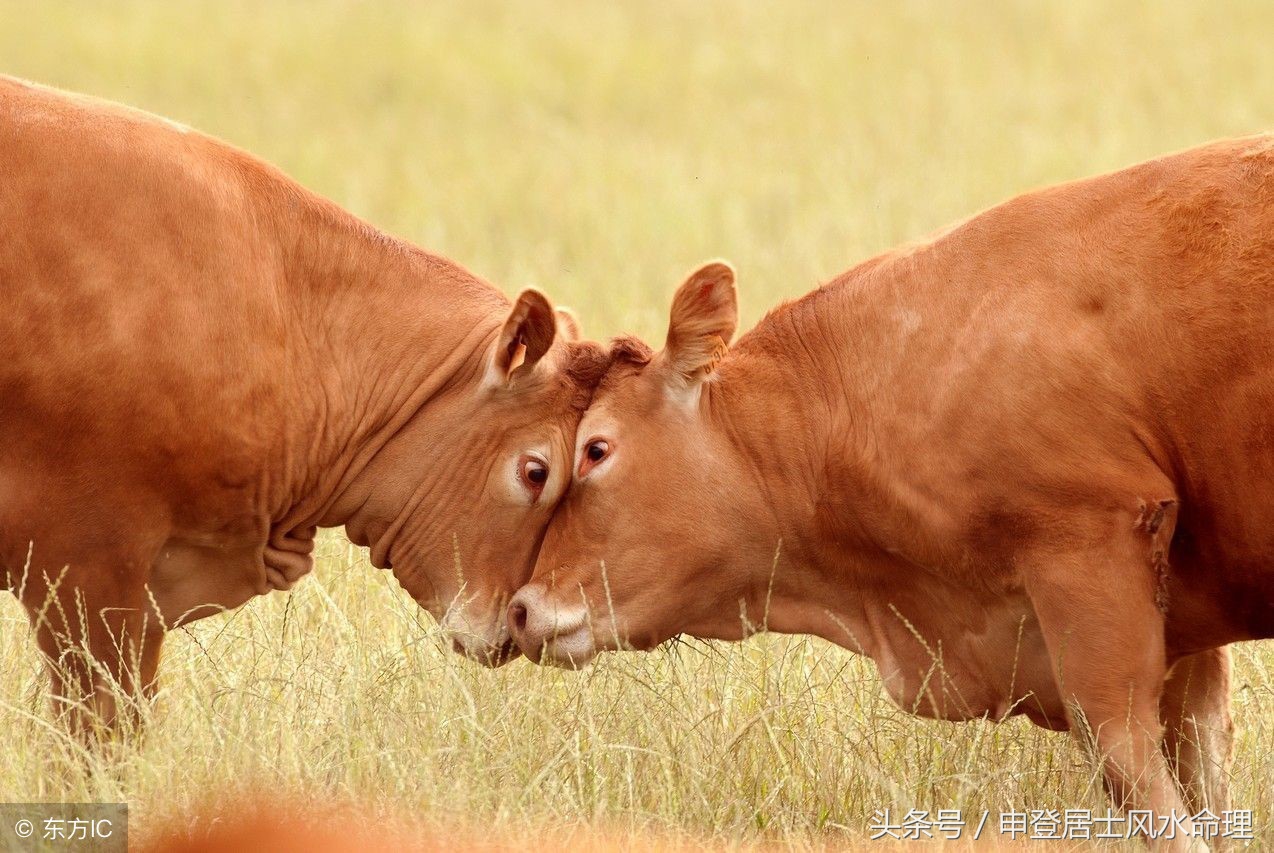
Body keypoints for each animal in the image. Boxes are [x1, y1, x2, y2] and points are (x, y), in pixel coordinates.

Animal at [507, 136, 1274, 850]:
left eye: (596, 449)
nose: (520, 607)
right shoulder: (1182, 631)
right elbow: (1203, 766)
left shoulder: (1091, 553)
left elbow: (1137, 771)